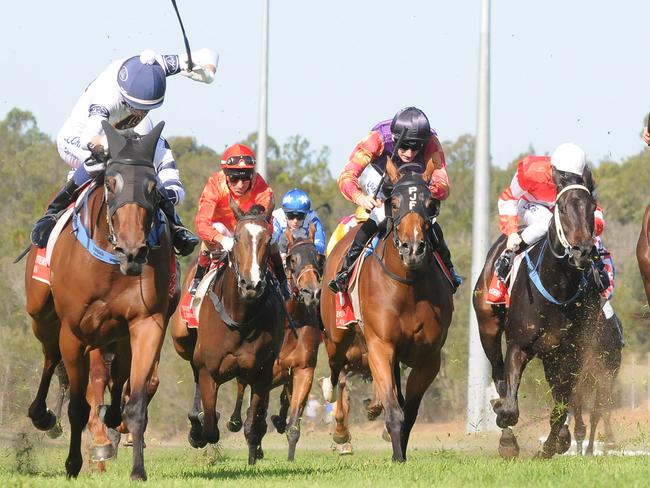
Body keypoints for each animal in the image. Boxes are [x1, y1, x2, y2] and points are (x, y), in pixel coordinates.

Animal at [25, 120, 175, 478]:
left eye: (154, 188)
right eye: (111, 182)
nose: (133, 251)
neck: (111, 265)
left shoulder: (147, 323)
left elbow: (136, 401)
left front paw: (137, 470)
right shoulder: (74, 331)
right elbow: (79, 405)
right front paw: (72, 464)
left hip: (114, 335)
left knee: (117, 375)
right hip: (43, 314)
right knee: (50, 357)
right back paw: (42, 415)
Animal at [191, 202, 284, 466]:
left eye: (268, 239)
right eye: (236, 238)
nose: (251, 285)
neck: (240, 318)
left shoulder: (262, 372)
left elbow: (254, 423)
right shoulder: (208, 370)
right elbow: (210, 428)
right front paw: (198, 430)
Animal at [225, 227, 324, 460]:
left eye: (318, 258)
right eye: (292, 259)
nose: (312, 292)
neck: (292, 322)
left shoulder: (304, 370)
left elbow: (293, 423)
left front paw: (290, 459)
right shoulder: (262, 373)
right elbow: (256, 414)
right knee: (243, 393)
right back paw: (236, 422)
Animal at [318, 157, 450, 462]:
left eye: (430, 203)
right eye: (395, 202)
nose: (413, 248)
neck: (408, 287)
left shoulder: (429, 357)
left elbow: (409, 410)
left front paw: (398, 448)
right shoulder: (380, 345)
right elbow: (394, 408)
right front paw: (397, 455)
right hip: (336, 335)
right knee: (336, 369)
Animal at [470, 166, 604, 460]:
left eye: (591, 207)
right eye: (562, 208)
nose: (583, 251)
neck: (558, 288)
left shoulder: (571, 352)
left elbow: (562, 404)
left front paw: (554, 443)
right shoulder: (518, 346)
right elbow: (509, 406)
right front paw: (503, 421)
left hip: (552, 355)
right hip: (488, 328)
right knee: (498, 375)